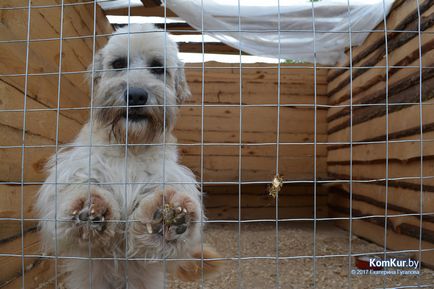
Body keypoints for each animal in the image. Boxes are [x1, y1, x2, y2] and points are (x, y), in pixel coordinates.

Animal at [35, 24, 220, 288]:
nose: (136, 95)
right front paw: (89, 205)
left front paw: (168, 216)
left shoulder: (167, 177)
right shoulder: (76, 170)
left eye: (158, 67)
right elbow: (76, 189)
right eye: (118, 63)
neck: (129, 146)